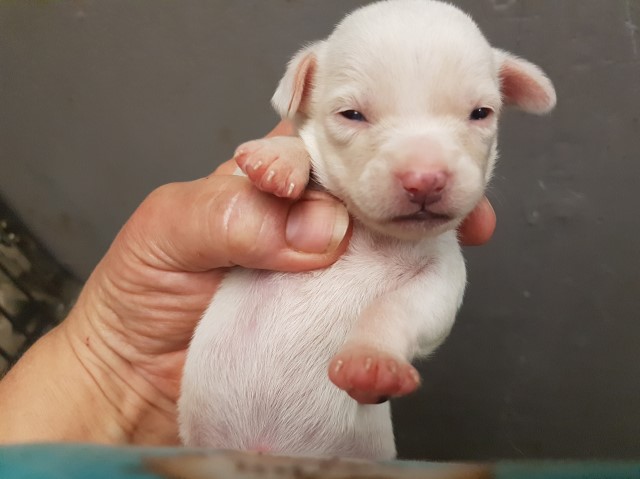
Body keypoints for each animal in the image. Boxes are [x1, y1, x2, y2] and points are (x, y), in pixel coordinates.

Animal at [179, 0, 556, 462]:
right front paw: (280, 157)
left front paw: (372, 362)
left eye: (481, 113)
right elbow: (289, 148)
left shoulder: (441, 277)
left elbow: (397, 307)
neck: (369, 230)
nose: (424, 179)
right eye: (352, 115)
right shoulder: (232, 184)